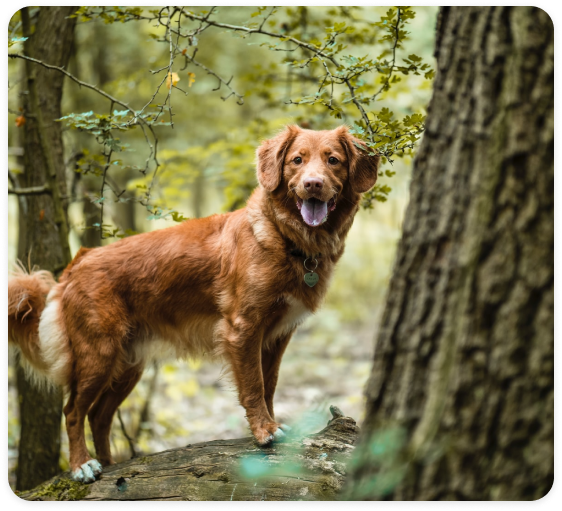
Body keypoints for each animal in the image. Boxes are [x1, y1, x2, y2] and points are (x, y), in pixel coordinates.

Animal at [7, 125, 376, 484]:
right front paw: (264, 431)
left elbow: (269, 385)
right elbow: (254, 386)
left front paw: (270, 423)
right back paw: (82, 465)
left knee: (98, 415)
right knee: (73, 411)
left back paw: (110, 465)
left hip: (127, 365)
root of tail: (77, 262)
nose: (313, 184)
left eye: (332, 160)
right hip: (98, 353)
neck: (285, 237)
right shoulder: (242, 329)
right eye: (297, 160)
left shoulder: (277, 336)